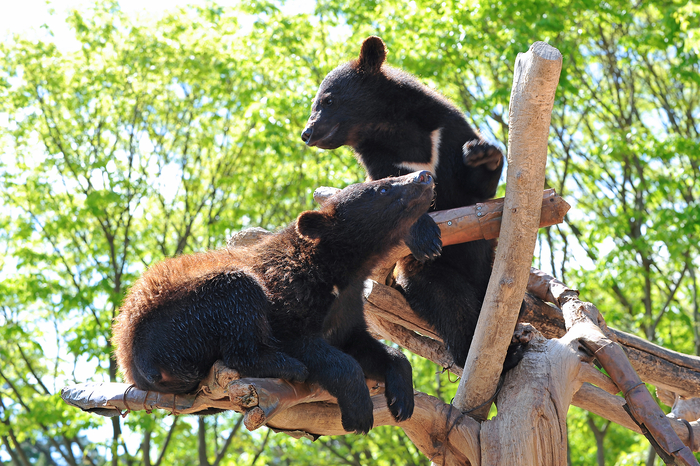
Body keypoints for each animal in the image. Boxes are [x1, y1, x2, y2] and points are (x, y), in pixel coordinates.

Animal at [112, 170, 438, 434]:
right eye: (382, 188)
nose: (425, 176)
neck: (337, 270)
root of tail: (131, 360)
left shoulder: (347, 306)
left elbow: (363, 344)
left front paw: (402, 396)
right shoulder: (289, 293)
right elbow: (313, 346)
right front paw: (358, 411)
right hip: (180, 320)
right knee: (238, 301)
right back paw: (287, 365)